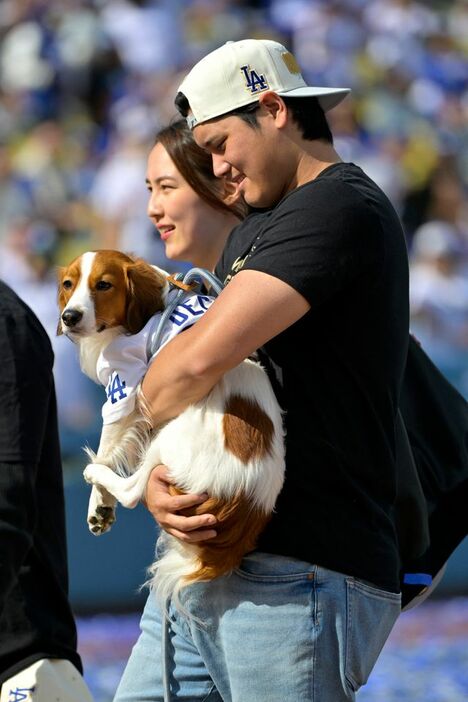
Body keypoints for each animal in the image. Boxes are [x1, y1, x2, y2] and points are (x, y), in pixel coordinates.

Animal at [58, 250, 286, 608]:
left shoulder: (123, 387)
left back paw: (95, 472)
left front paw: (97, 501)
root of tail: (242, 500)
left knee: (133, 490)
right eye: (69, 284)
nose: (69, 317)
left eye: (104, 285)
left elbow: (108, 447)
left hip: (169, 439)